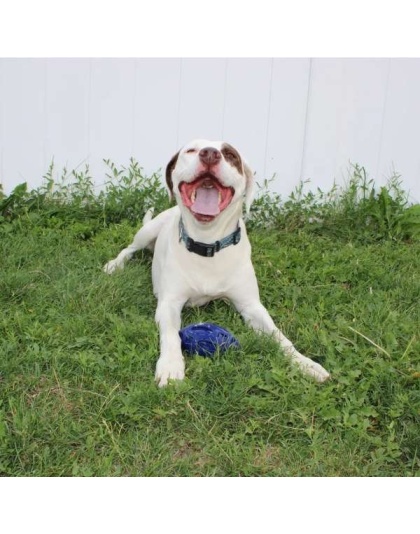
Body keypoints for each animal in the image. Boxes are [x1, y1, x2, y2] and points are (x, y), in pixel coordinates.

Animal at [103, 140, 330, 388]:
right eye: (191, 150)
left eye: (230, 155)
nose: (210, 154)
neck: (207, 244)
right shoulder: (169, 304)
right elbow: (171, 335)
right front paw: (171, 366)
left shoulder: (251, 306)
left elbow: (279, 336)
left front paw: (304, 363)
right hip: (147, 232)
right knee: (129, 248)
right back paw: (114, 265)